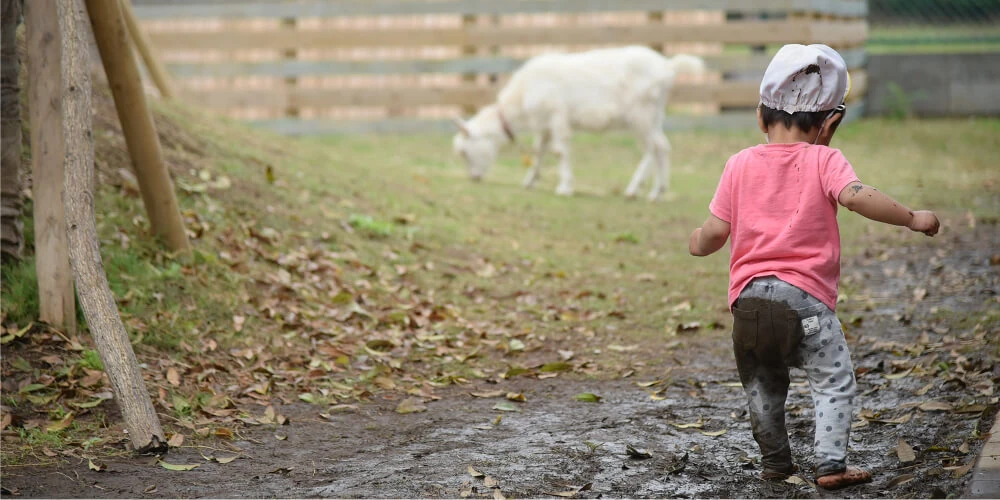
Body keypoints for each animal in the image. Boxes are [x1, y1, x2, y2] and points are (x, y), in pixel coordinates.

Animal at [452, 45, 705, 201]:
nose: (474, 178)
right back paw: (651, 192)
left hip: (641, 113)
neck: (522, 96)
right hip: (654, 116)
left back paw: (643, 190)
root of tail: (668, 66)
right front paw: (530, 181)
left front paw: (564, 188)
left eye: (465, 152)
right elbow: (539, 151)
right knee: (660, 147)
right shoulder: (545, 125)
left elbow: (559, 152)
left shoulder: (557, 116)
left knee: (655, 148)